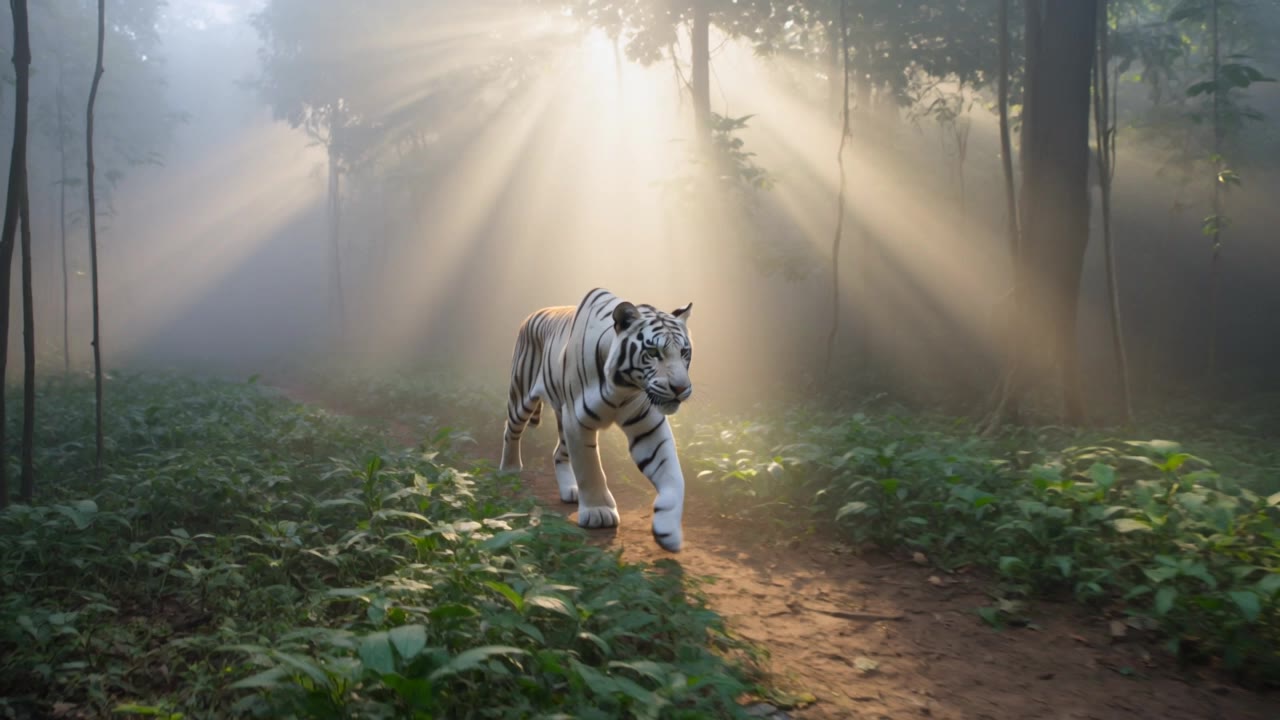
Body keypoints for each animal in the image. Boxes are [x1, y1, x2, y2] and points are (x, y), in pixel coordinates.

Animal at [499, 288, 694, 552]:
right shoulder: (577, 420)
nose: (680, 388)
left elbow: (673, 475)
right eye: (653, 353)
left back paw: (570, 491)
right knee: (511, 430)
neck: (623, 388)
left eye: (684, 352)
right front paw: (598, 512)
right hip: (522, 395)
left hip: (562, 417)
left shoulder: (648, 426)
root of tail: (532, 314)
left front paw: (668, 529)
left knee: (558, 453)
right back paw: (509, 470)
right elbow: (589, 468)